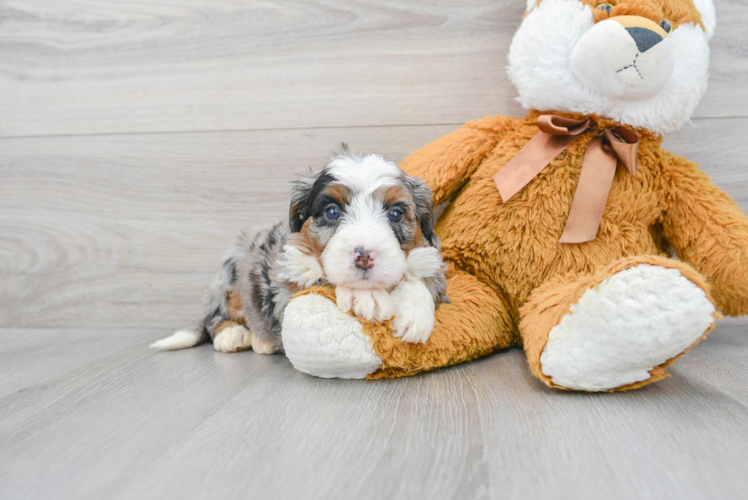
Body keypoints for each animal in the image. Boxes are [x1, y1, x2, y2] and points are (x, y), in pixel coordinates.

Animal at [149, 146, 448, 354]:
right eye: (332, 211)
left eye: (395, 214)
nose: (364, 256)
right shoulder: (286, 279)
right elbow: (323, 277)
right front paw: (365, 297)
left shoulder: (431, 261)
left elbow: (420, 277)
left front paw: (413, 316)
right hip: (228, 274)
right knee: (216, 315)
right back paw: (234, 335)